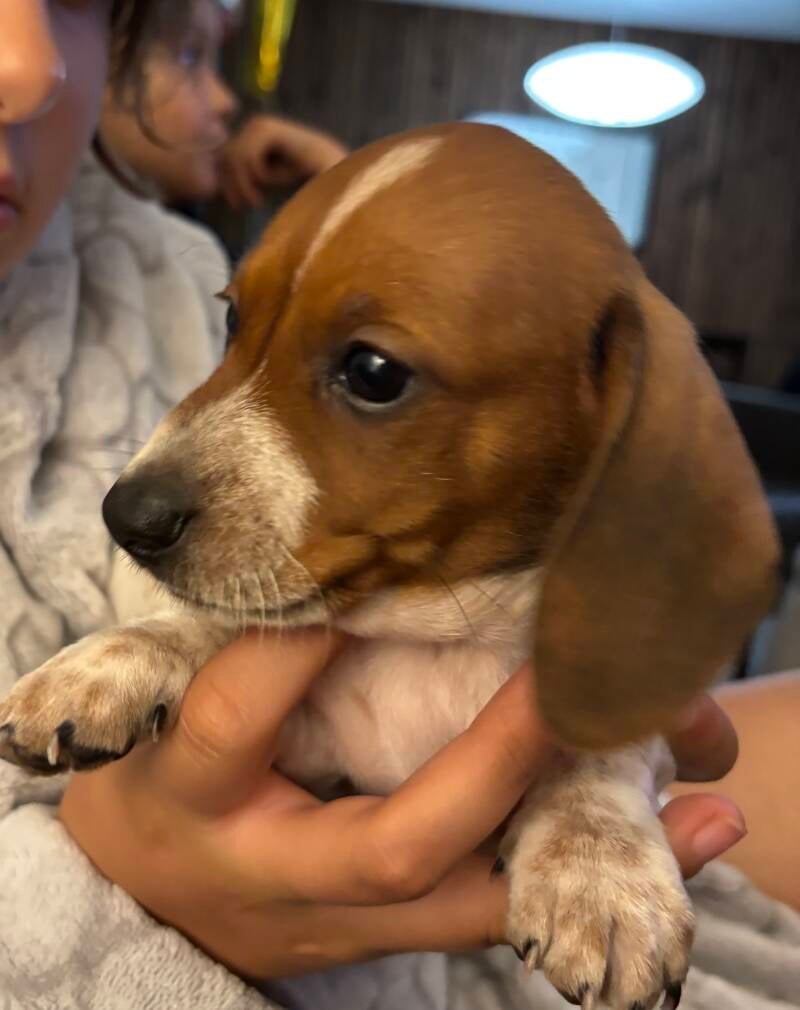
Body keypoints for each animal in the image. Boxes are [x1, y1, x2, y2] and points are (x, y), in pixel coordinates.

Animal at [0, 124, 778, 1009]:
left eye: (373, 373)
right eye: (232, 318)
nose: (125, 517)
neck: (427, 636)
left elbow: (602, 747)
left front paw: (598, 862)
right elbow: (219, 622)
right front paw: (114, 660)